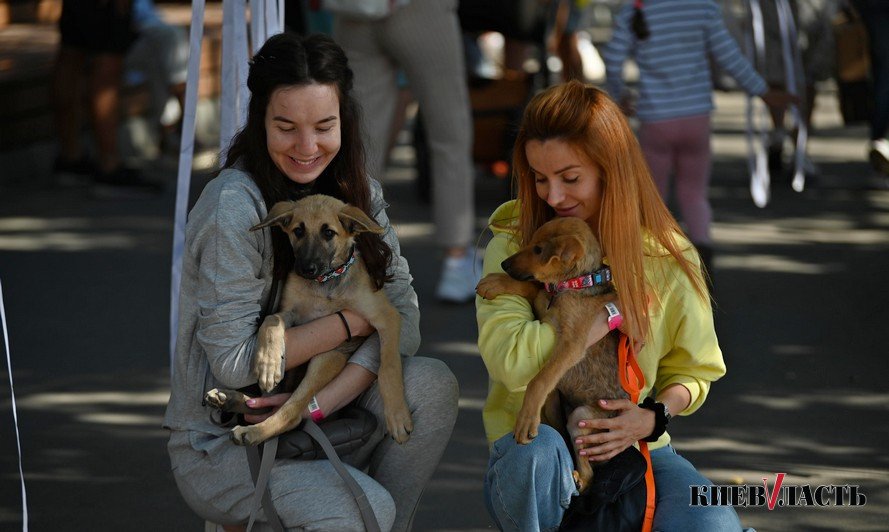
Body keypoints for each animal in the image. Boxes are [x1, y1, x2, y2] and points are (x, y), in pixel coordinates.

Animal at [202, 194, 412, 444]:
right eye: (298, 231)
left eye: (329, 233)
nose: (305, 269)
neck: (325, 282)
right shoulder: (291, 312)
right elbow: (271, 320)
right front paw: (268, 363)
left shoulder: (387, 316)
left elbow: (389, 365)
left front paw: (397, 416)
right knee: (278, 405)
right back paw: (231, 401)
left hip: (326, 358)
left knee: (290, 412)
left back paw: (251, 430)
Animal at [478, 216, 624, 490]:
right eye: (532, 243)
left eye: (538, 250)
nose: (503, 264)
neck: (572, 285)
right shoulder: (542, 304)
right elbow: (532, 286)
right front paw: (496, 282)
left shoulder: (571, 345)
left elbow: (540, 380)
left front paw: (526, 419)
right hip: (557, 404)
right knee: (561, 432)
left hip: (582, 416)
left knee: (589, 471)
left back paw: (578, 478)